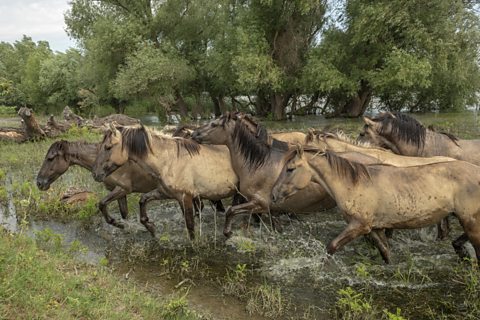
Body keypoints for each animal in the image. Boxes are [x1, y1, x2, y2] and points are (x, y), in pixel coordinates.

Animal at [92, 124, 238, 239]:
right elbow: (143, 200)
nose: (95, 174)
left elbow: (190, 227)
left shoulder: (185, 197)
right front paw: (151, 228)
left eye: (108, 147)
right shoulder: (166, 193)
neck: (170, 161)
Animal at [272, 146, 480, 264]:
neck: (353, 184)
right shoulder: (373, 228)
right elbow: (385, 252)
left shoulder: (359, 226)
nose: (273, 194)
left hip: (470, 221)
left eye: (290, 169)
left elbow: (331, 246)